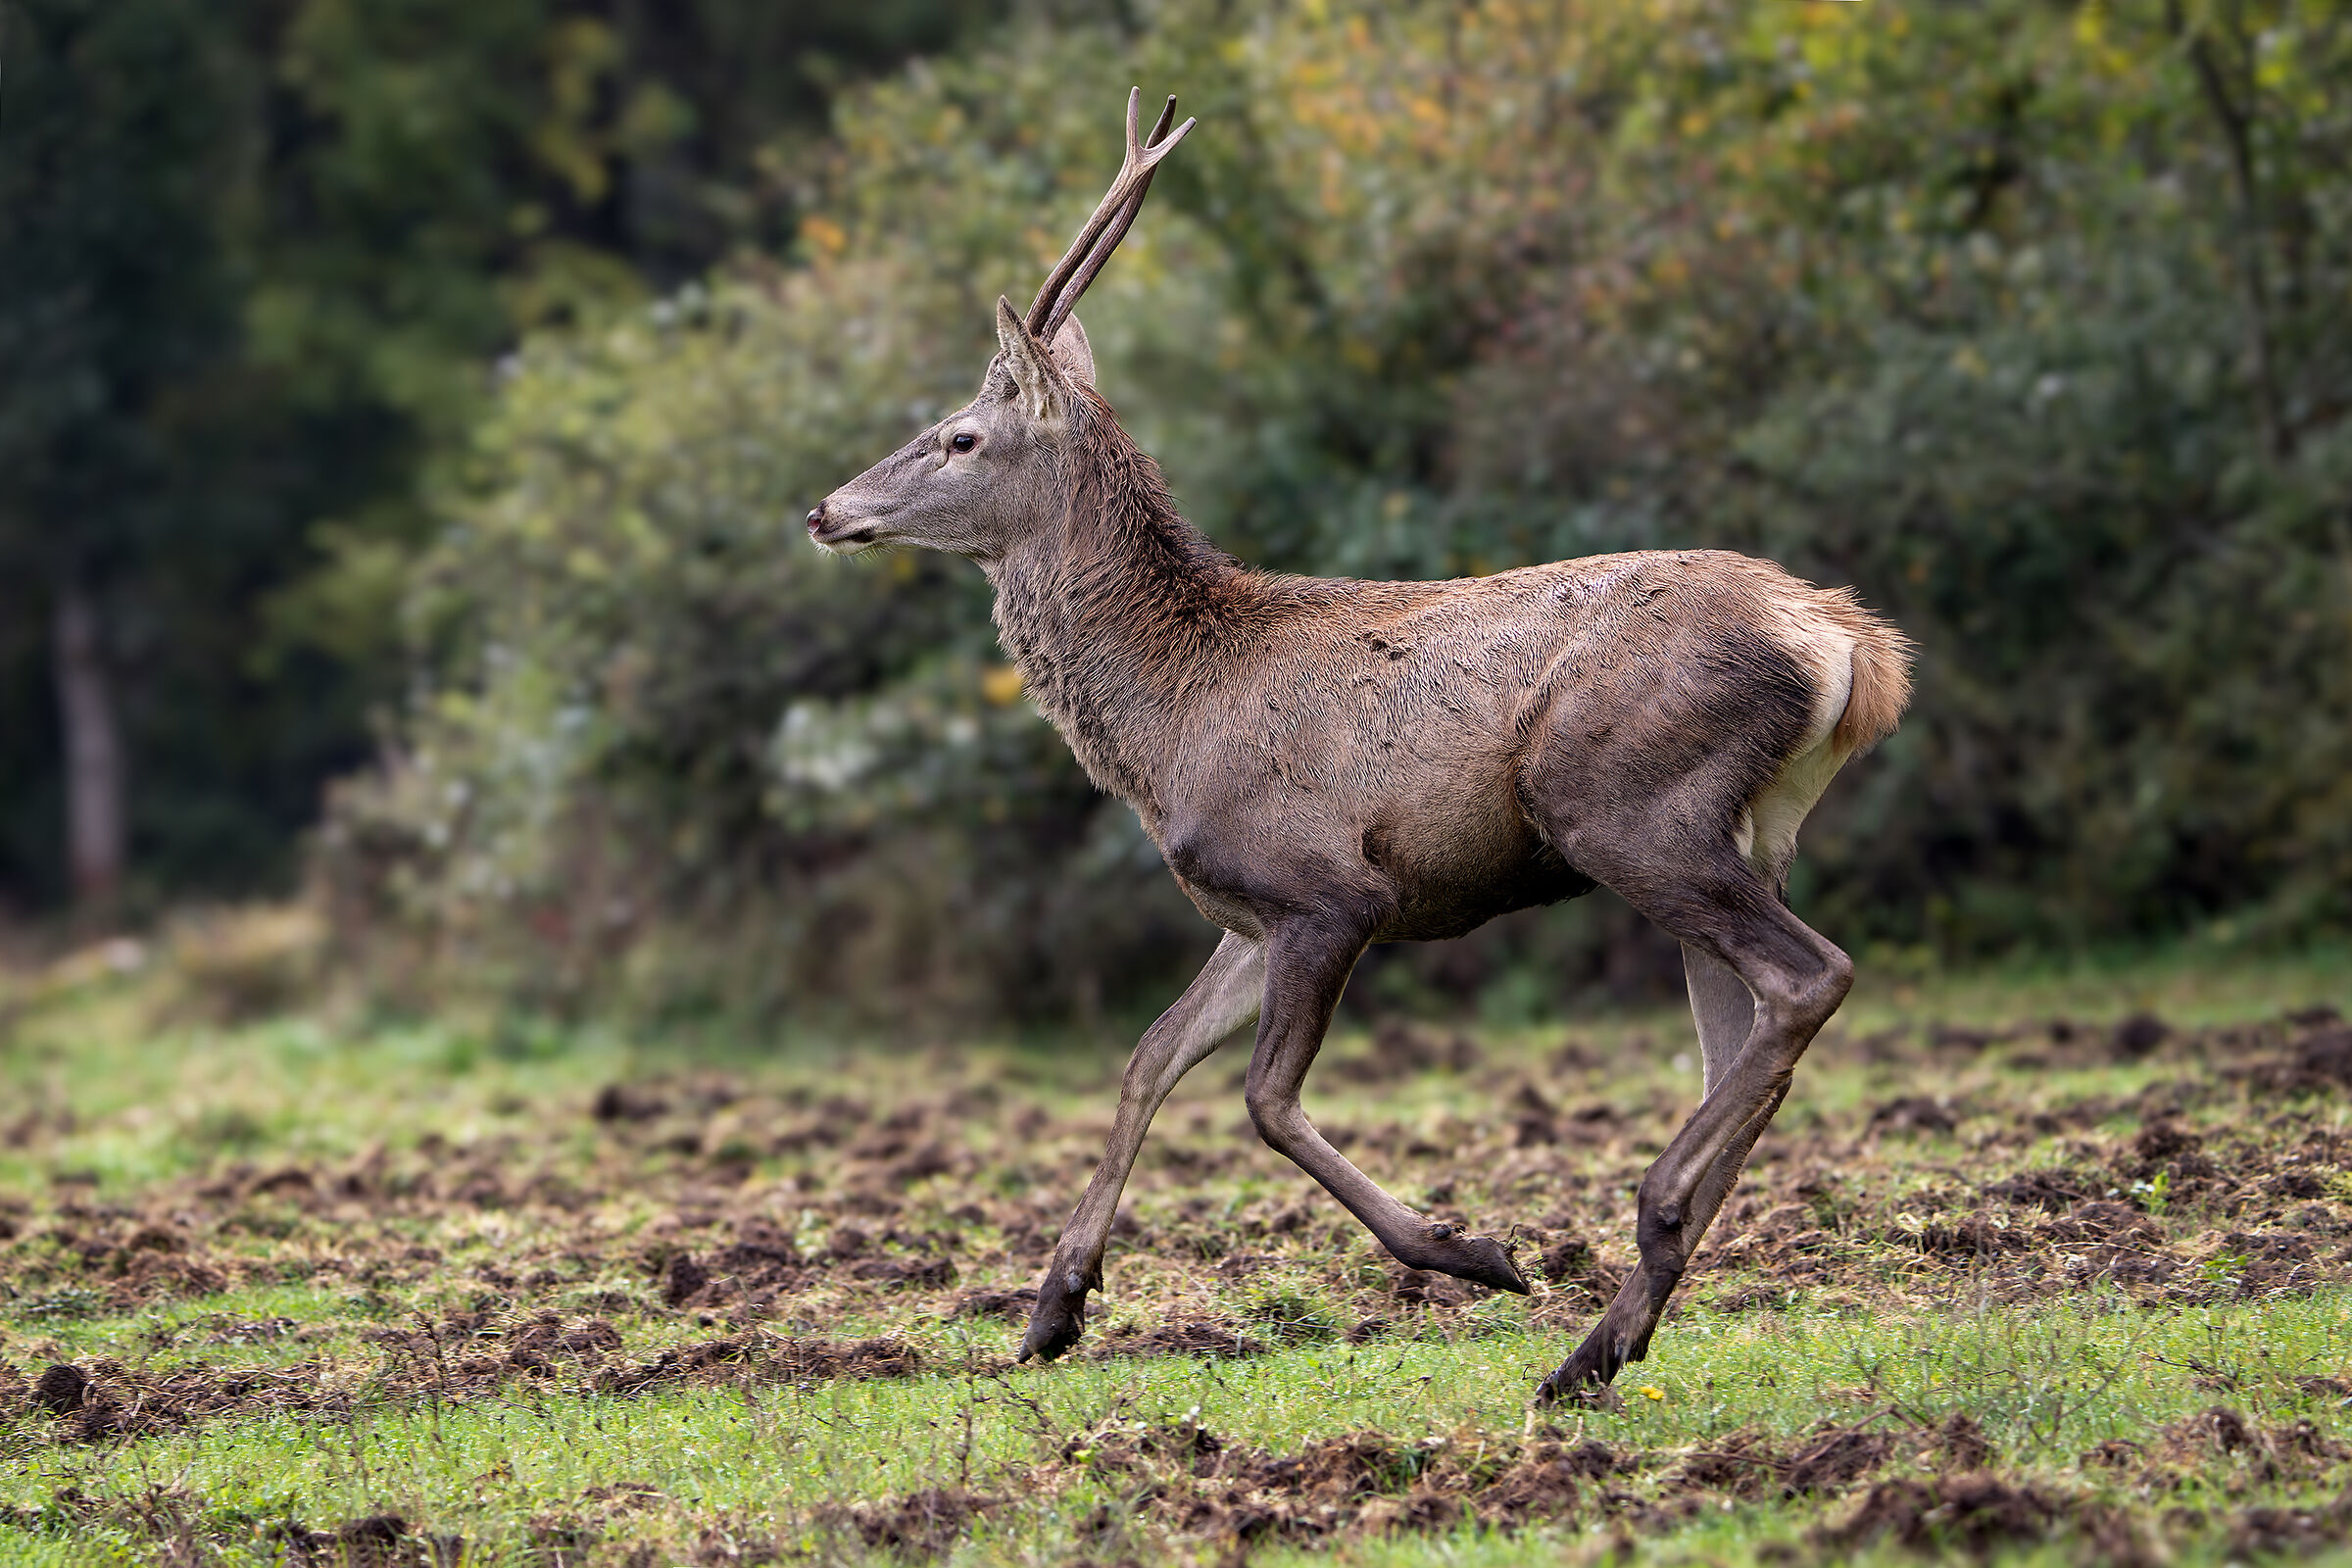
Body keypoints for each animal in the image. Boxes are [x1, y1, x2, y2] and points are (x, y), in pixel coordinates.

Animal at [805, 91, 1911, 1403]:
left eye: (961, 436)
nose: (825, 508)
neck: (1171, 719)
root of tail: (1849, 648)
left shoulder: (1331, 889)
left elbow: (1263, 1101)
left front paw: (1473, 1250)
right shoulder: (1246, 909)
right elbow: (1147, 1057)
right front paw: (1050, 1310)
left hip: (1626, 804)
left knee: (1809, 976)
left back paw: (1618, 1264)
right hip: (1746, 829)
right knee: (1743, 1040)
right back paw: (1610, 1338)